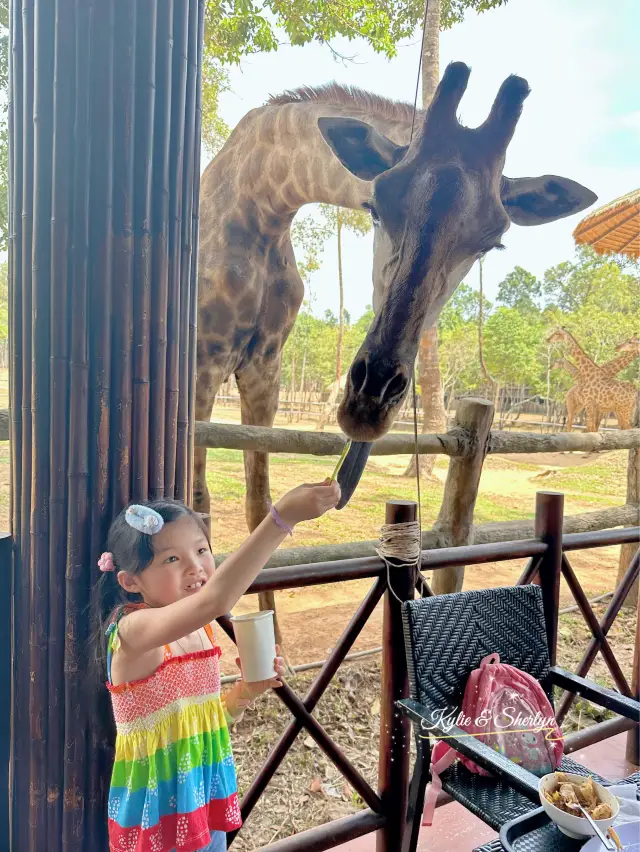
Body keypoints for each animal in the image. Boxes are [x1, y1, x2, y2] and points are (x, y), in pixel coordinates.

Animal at [194, 63, 596, 624]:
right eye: (375, 207)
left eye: (491, 243)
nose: (368, 404)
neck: (261, 204)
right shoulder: (202, 362)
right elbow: (198, 504)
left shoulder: (264, 368)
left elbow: (259, 506)